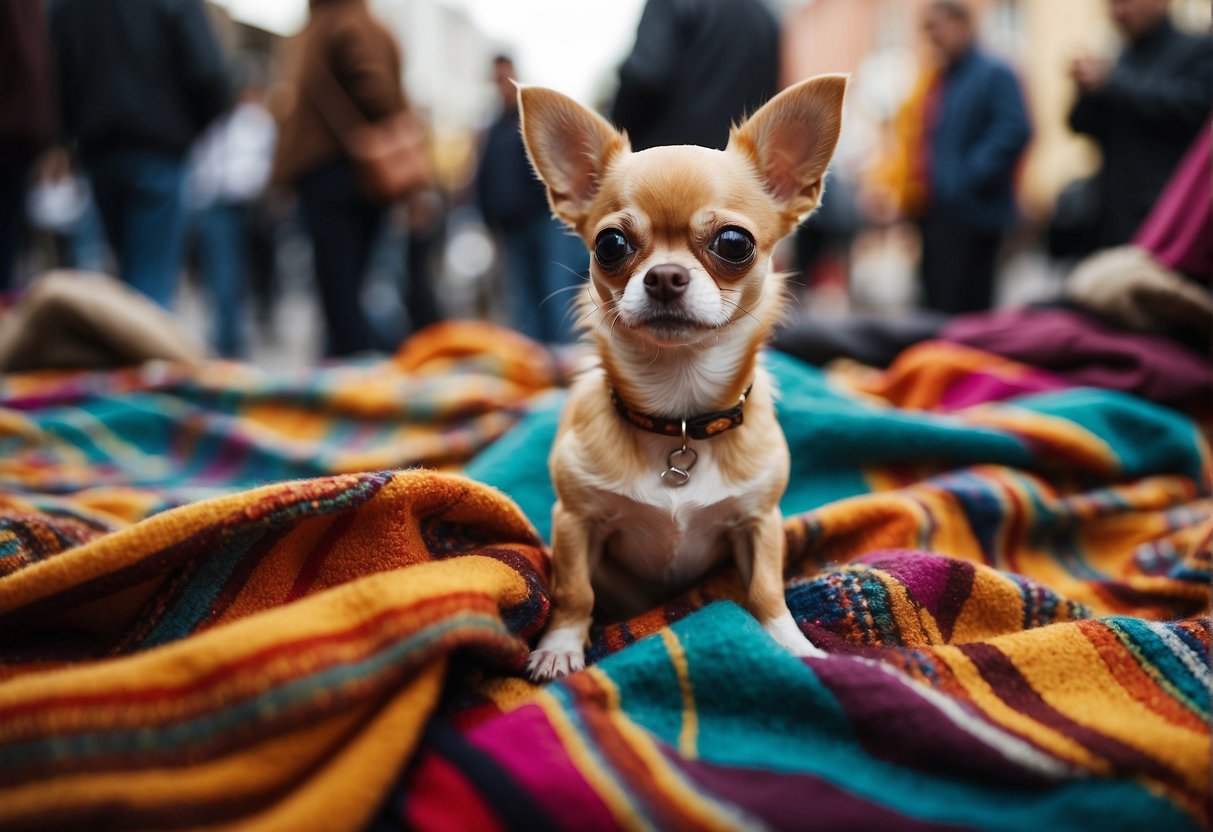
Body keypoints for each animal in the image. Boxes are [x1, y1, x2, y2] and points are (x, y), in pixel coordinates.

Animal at [519, 73, 844, 684]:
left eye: (735, 243)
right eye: (610, 245)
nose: (665, 276)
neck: (680, 415)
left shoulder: (760, 522)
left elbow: (766, 590)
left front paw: (791, 644)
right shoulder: (574, 520)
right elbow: (574, 591)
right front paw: (560, 646)